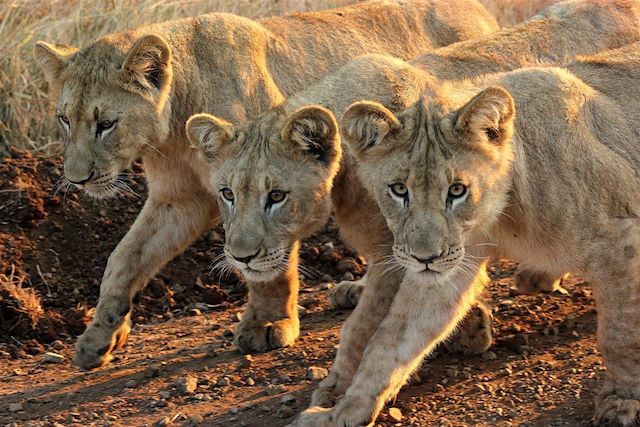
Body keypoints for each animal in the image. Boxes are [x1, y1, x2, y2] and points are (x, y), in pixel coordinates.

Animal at [35, 0, 500, 370]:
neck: (174, 127)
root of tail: (481, 9)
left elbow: (267, 267)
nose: (76, 178)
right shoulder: (180, 199)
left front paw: (267, 324)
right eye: (63, 120)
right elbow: (125, 257)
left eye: (105, 124)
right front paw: (99, 338)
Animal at [298, 43, 640, 427]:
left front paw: (623, 399)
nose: (424, 258)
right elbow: (392, 341)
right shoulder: (451, 265)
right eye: (399, 190)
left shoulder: (618, 240)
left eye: (457, 190)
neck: (506, 214)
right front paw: (342, 411)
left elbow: (620, 333)